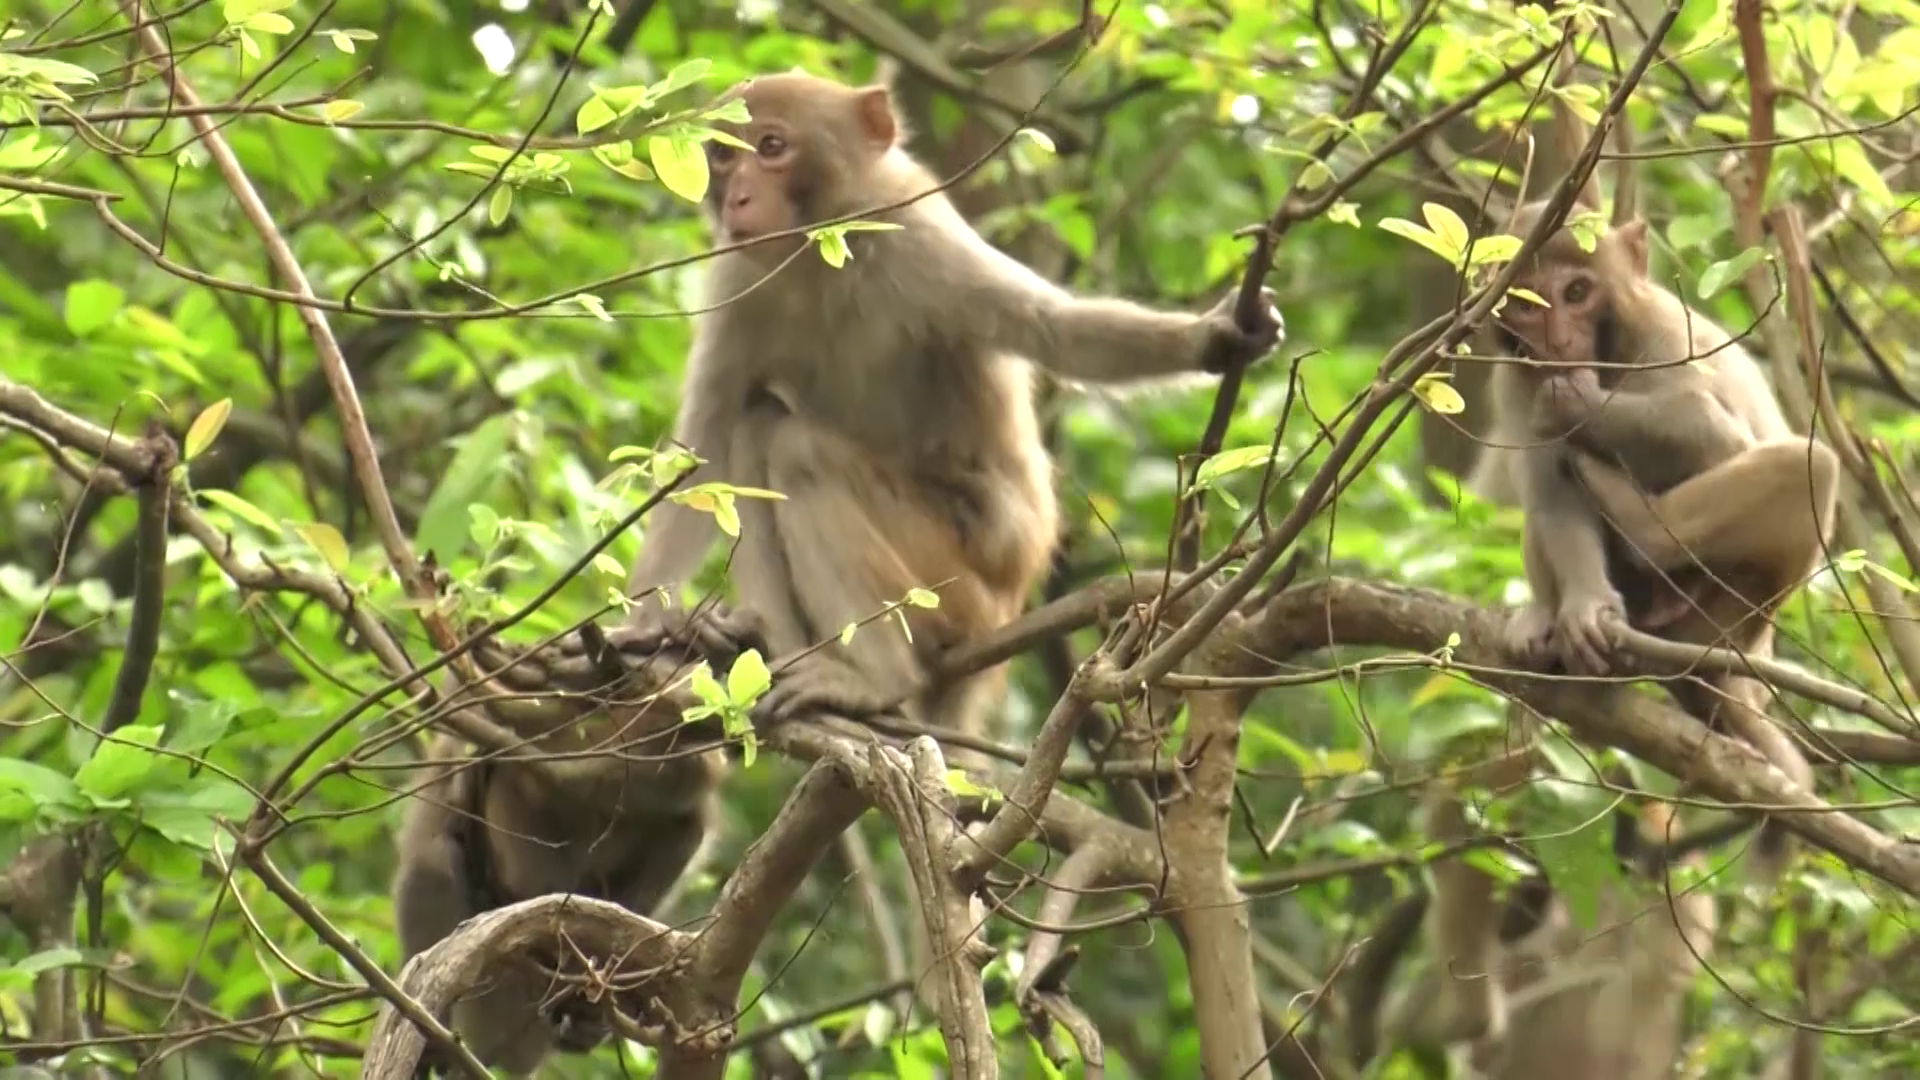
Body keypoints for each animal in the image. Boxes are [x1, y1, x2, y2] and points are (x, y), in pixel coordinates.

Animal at [625, 71, 1290, 734]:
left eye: (770, 147)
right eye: (722, 157)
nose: (736, 198)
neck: (821, 254)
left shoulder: (922, 242)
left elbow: (1059, 331)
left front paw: (1213, 334)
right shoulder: (737, 280)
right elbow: (707, 446)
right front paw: (653, 619)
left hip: (959, 589)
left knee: (798, 450)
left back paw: (878, 682)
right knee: (754, 430)